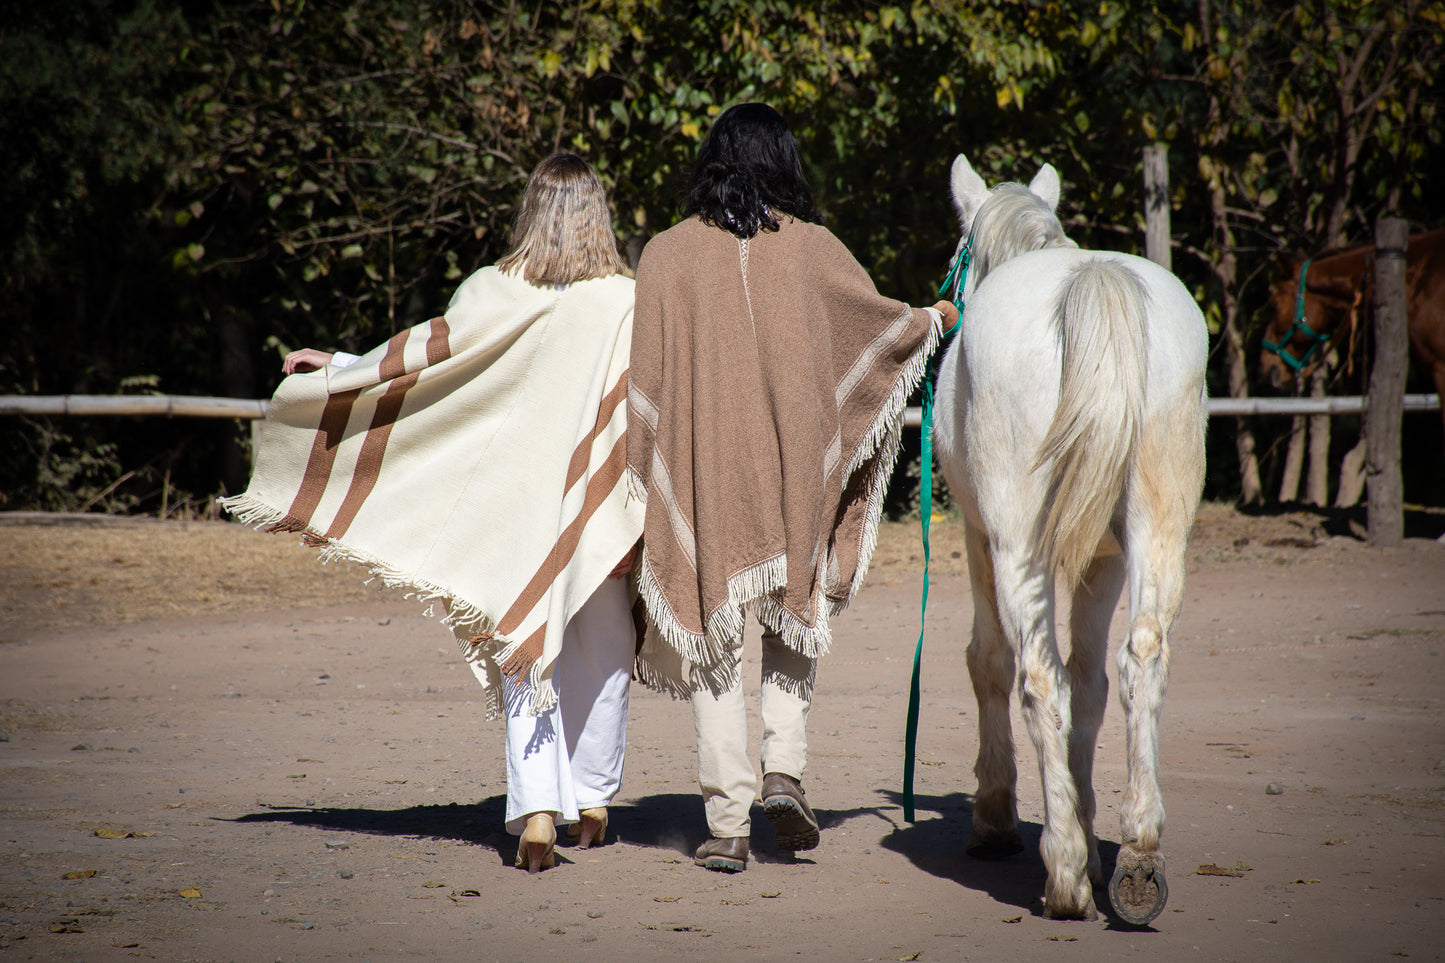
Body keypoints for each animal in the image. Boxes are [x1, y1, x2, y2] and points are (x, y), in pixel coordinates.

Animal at [930, 151, 1202, 925]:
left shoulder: (977, 538)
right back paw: (1136, 857)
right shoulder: (1101, 562)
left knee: (1036, 674)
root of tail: (1091, 281)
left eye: (957, 257)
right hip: (1155, 530)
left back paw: (1065, 877)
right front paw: (1082, 819)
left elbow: (991, 662)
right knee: (1140, 657)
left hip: (1016, 544)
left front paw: (1002, 819)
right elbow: (1092, 683)